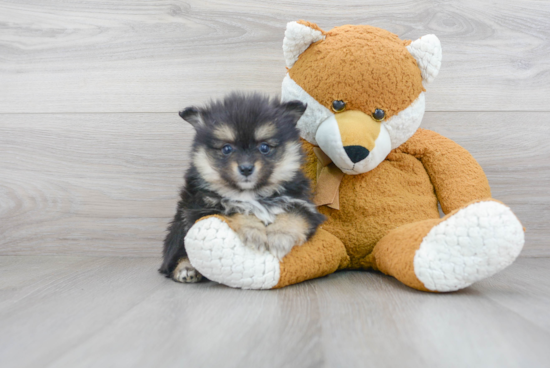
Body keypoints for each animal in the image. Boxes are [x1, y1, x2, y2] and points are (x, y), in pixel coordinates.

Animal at [158, 92, 328, 282]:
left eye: (264, 147)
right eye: (226, 149)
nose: (246, 168)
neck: (251, 193)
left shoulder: (303, 204)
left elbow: (293, 215)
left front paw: (279, 238)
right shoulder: (200, 208)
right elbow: (236, 209)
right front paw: (254, 232)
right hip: (179, 228)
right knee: (173, 257)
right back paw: (186, 269)